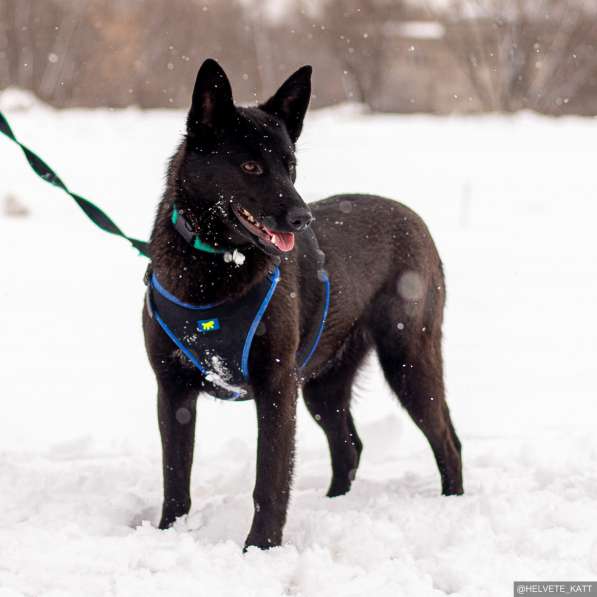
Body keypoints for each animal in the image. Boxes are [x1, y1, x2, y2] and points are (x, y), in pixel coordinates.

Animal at [142, 58, 464, 548]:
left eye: (290, 165)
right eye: (250, 165)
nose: (302, 218)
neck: (217, 264)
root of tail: (413, 218)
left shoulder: (277, 388)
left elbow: (270, 480)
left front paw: (260, 548)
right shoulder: (173, 390)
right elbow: (175, 477)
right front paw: (167, 534)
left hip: (407, 359)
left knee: (447, 439)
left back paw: (453, 505)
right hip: (323, 385)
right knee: (349, 446)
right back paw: (335, 506)